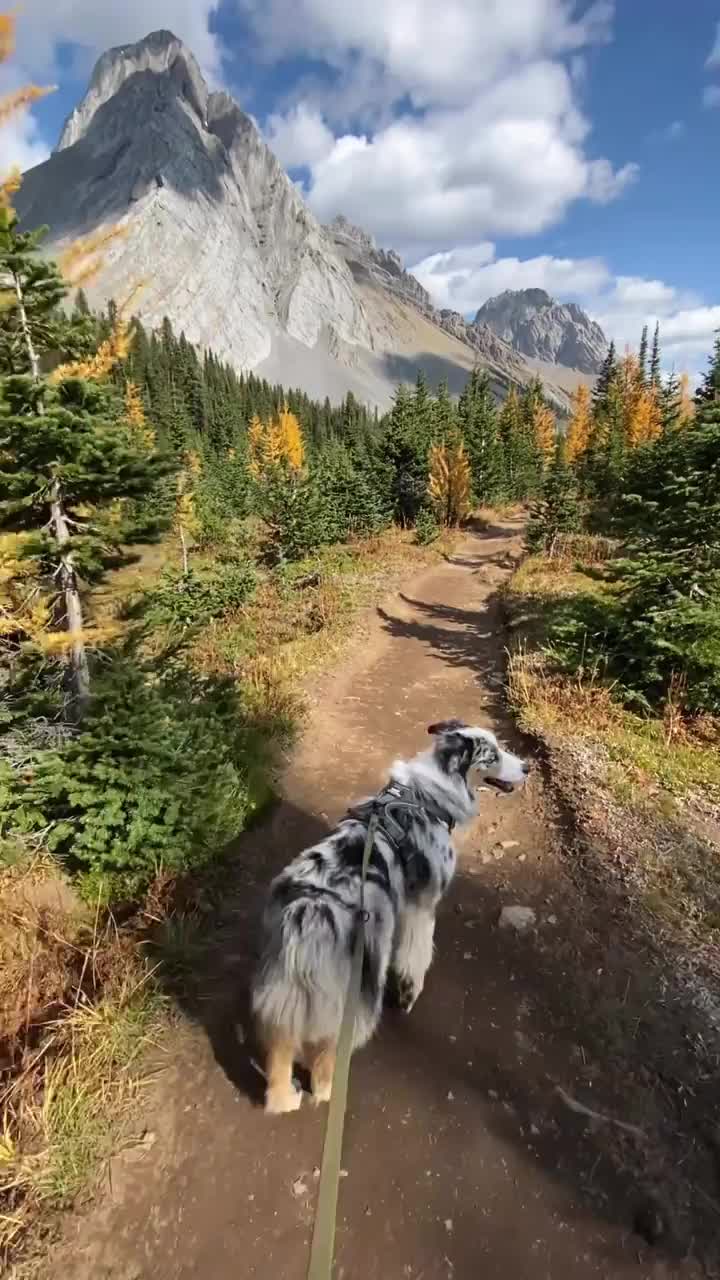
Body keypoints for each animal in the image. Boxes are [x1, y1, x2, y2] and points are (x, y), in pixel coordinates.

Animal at [249, 721, 525, 1111]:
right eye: (494, 754)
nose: (527, 768)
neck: (428, 796)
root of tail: (312, 910)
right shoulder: (421, 907)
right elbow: (416, 957)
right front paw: (409, 995)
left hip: (282, 992)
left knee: (279, 1056)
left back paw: (285, 1098)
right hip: (357, 992)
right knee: (325, 1060)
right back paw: (329, 1092)